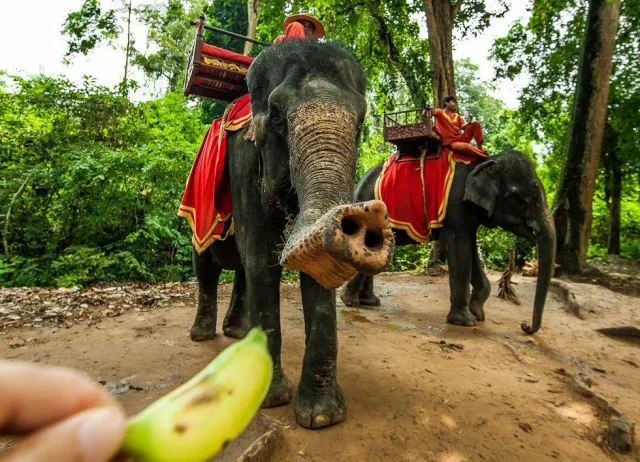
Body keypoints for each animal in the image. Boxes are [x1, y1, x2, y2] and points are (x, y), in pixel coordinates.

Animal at [187, 39, 395, 429]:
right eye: (277, 117)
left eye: (361, 121)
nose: (364, 215)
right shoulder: (243, 160)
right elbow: (261, 258)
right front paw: (270, 399)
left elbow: (316, 270)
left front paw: (322, 416)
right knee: (206, 264)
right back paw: (203, 335)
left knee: (240, 269)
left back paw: (238, 334)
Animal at [340, 149, 556, 335]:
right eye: (527, 198)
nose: (525, 326)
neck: (485, 160)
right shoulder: (455, 206)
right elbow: (459, 248)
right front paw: (465, 321)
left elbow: (471, 249)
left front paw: (478, 313)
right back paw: (351, 302)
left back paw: (369, 302)